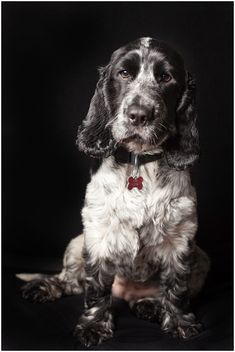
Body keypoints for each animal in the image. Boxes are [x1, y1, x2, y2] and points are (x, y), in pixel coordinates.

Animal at [17, 37, 210, 346]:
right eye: (124, 74)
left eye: (166, 78)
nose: (139, 115)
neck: (139, 163)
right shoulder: (98, 233)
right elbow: (95, 287)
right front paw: (94, 326)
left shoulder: (181, 237)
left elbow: (177, 287)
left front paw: (180, 322)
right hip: (77, 241)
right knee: (71, 280)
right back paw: (44, 287)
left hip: (202, 257)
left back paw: (149, 305)